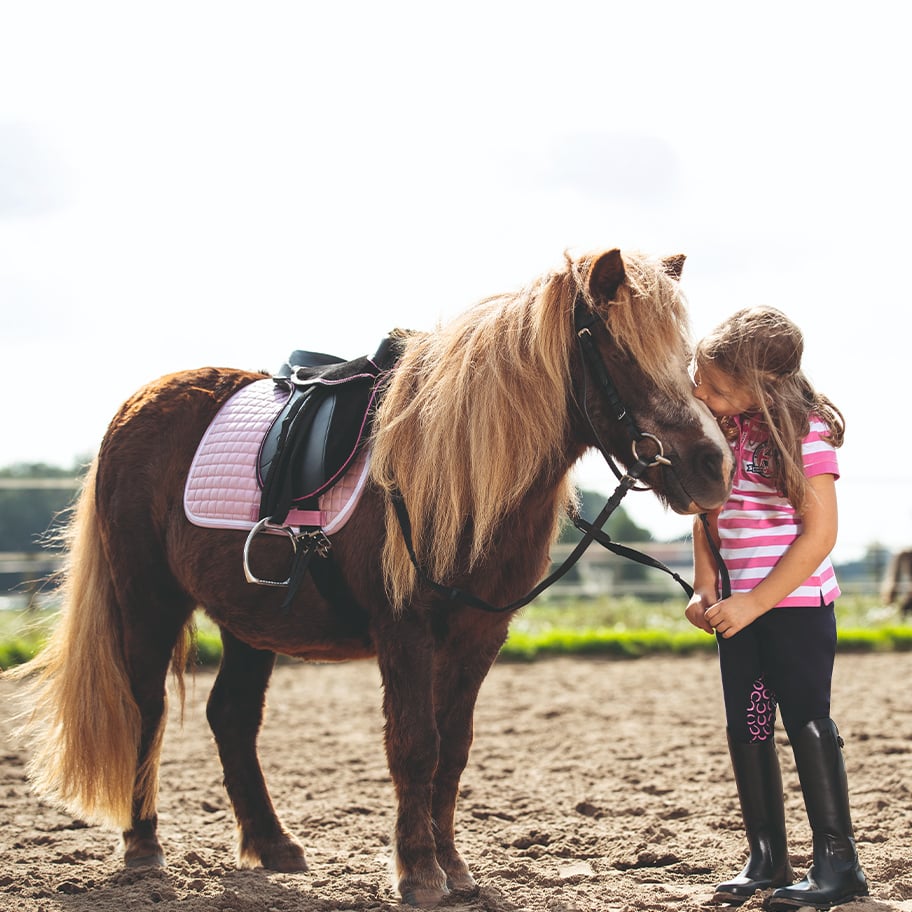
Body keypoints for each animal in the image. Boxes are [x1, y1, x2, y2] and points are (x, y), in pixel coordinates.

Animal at [7, 247, 733, 906]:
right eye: (621, 353)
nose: (713, 466)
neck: (457, 467)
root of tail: (137, 407)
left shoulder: (480, 633)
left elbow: (453, 748)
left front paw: (454, 869)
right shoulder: (405, 630)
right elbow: (415, 744)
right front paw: (418, 874)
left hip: (250, 619)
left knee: (231, 715)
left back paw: (274, 846)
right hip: (148, 599)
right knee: (147, 707)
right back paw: (144, 848)